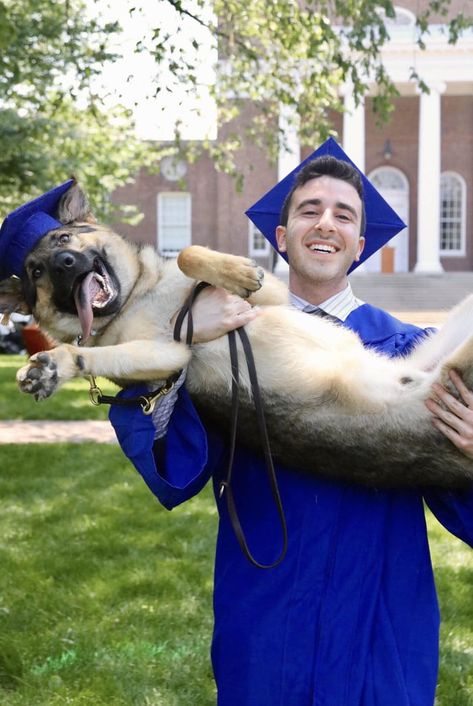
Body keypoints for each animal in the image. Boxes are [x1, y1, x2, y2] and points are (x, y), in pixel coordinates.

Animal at [2, 183, 472, 490]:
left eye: (64, 238)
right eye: (36, 272)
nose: (63, 264)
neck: (137, 295)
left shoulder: (274, 295)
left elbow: (188, 253)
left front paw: (236, 271)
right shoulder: (169, 353)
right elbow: (94, 355)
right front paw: (54, 366)